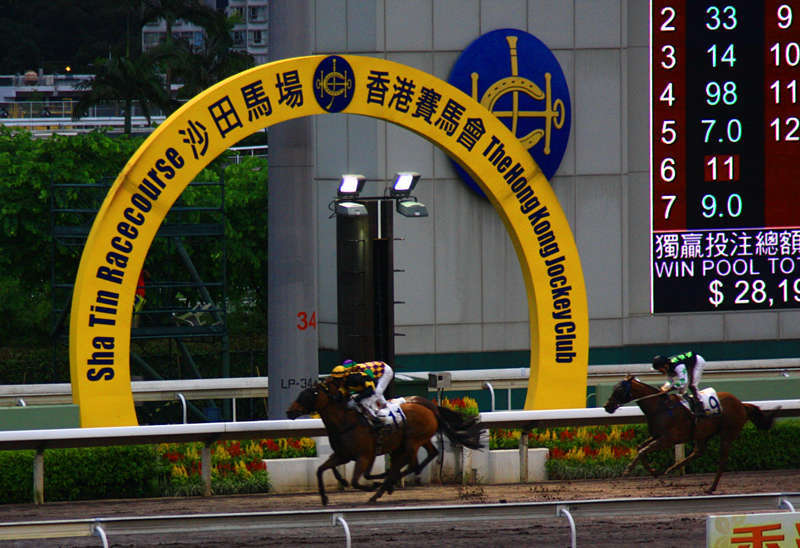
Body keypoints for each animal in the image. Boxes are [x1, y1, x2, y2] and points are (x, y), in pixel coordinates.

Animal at [290, 382, 484, 506]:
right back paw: (386, 485)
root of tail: (430, 406)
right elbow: (320, 469)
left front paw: (371, 485)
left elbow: (356, 481)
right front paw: (324, 498)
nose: (289, 411)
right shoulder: (342, 455)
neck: (346, 422)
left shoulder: (363, 456)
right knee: (429, 454)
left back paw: (385, 486)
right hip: (414, 442)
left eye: (310, 394)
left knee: (412, 464)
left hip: (411, 442)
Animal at [608, 374, 776, 494]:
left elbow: (642, 450)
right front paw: (656, 474)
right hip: (702, 433)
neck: (661, 408)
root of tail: (741, 404)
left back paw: (711, 488)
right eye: (614, 388)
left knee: (721, 461)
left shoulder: (668, 439)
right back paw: (672, 468)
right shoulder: (656, 436)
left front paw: (628, 470)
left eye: (619, 389)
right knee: (698, 451)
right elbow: (639, 448)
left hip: (727, 434)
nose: (607, 406)